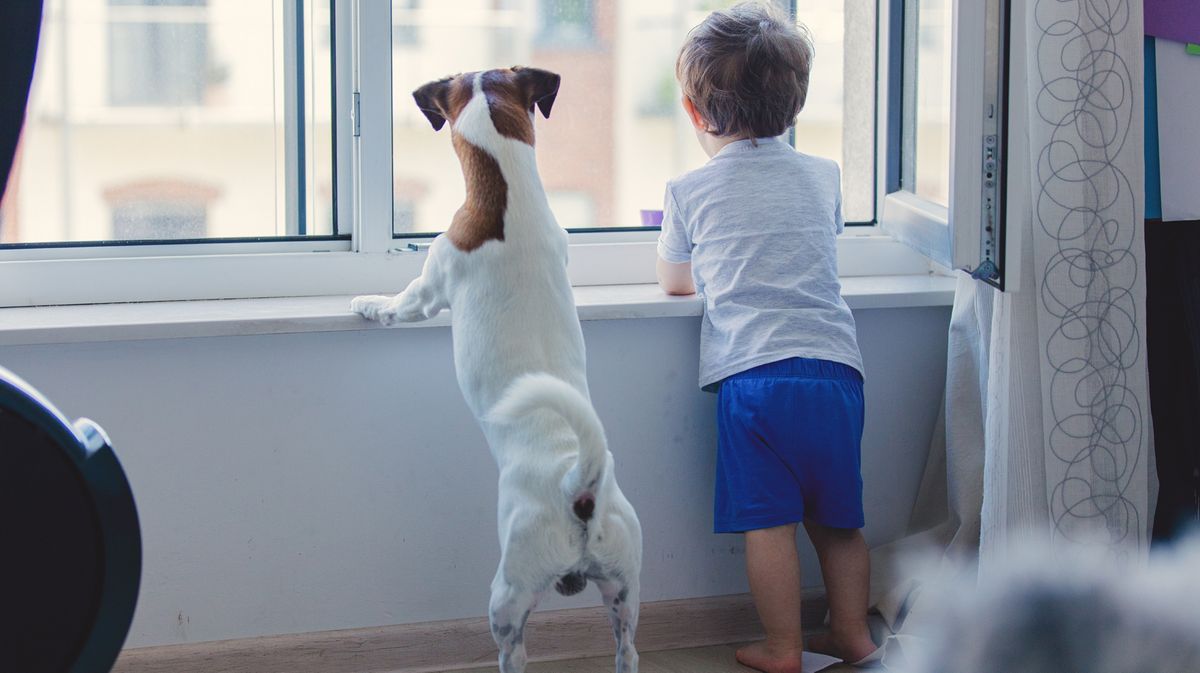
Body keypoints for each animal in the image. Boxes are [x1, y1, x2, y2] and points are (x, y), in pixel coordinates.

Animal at [350, 68, 643, 671]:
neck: (510, 202)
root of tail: (580, 487)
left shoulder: (428, 288)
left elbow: (396, 305)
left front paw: (366, 304)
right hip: (625, 590)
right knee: (628, 650)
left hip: (508, 595)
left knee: (515, 650)